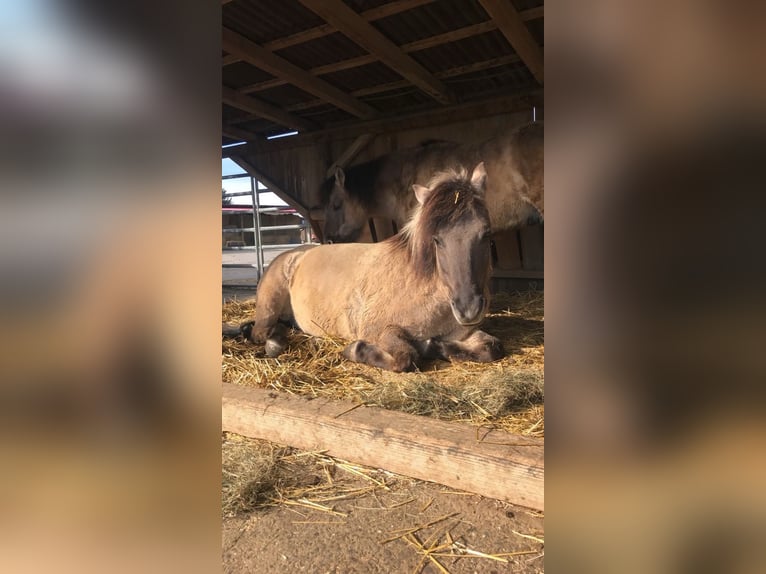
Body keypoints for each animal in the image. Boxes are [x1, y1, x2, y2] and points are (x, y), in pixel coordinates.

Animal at [244, 163, 504, 374]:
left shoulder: (463, 334)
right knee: (261, 332)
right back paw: (276, 343)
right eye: (437, 240)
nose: (468, 309)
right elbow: (405, 357)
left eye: (486, 233)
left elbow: (492, 347)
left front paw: (432, 345)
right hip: (269, 306)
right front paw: (355, 349)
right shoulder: (380, 329)